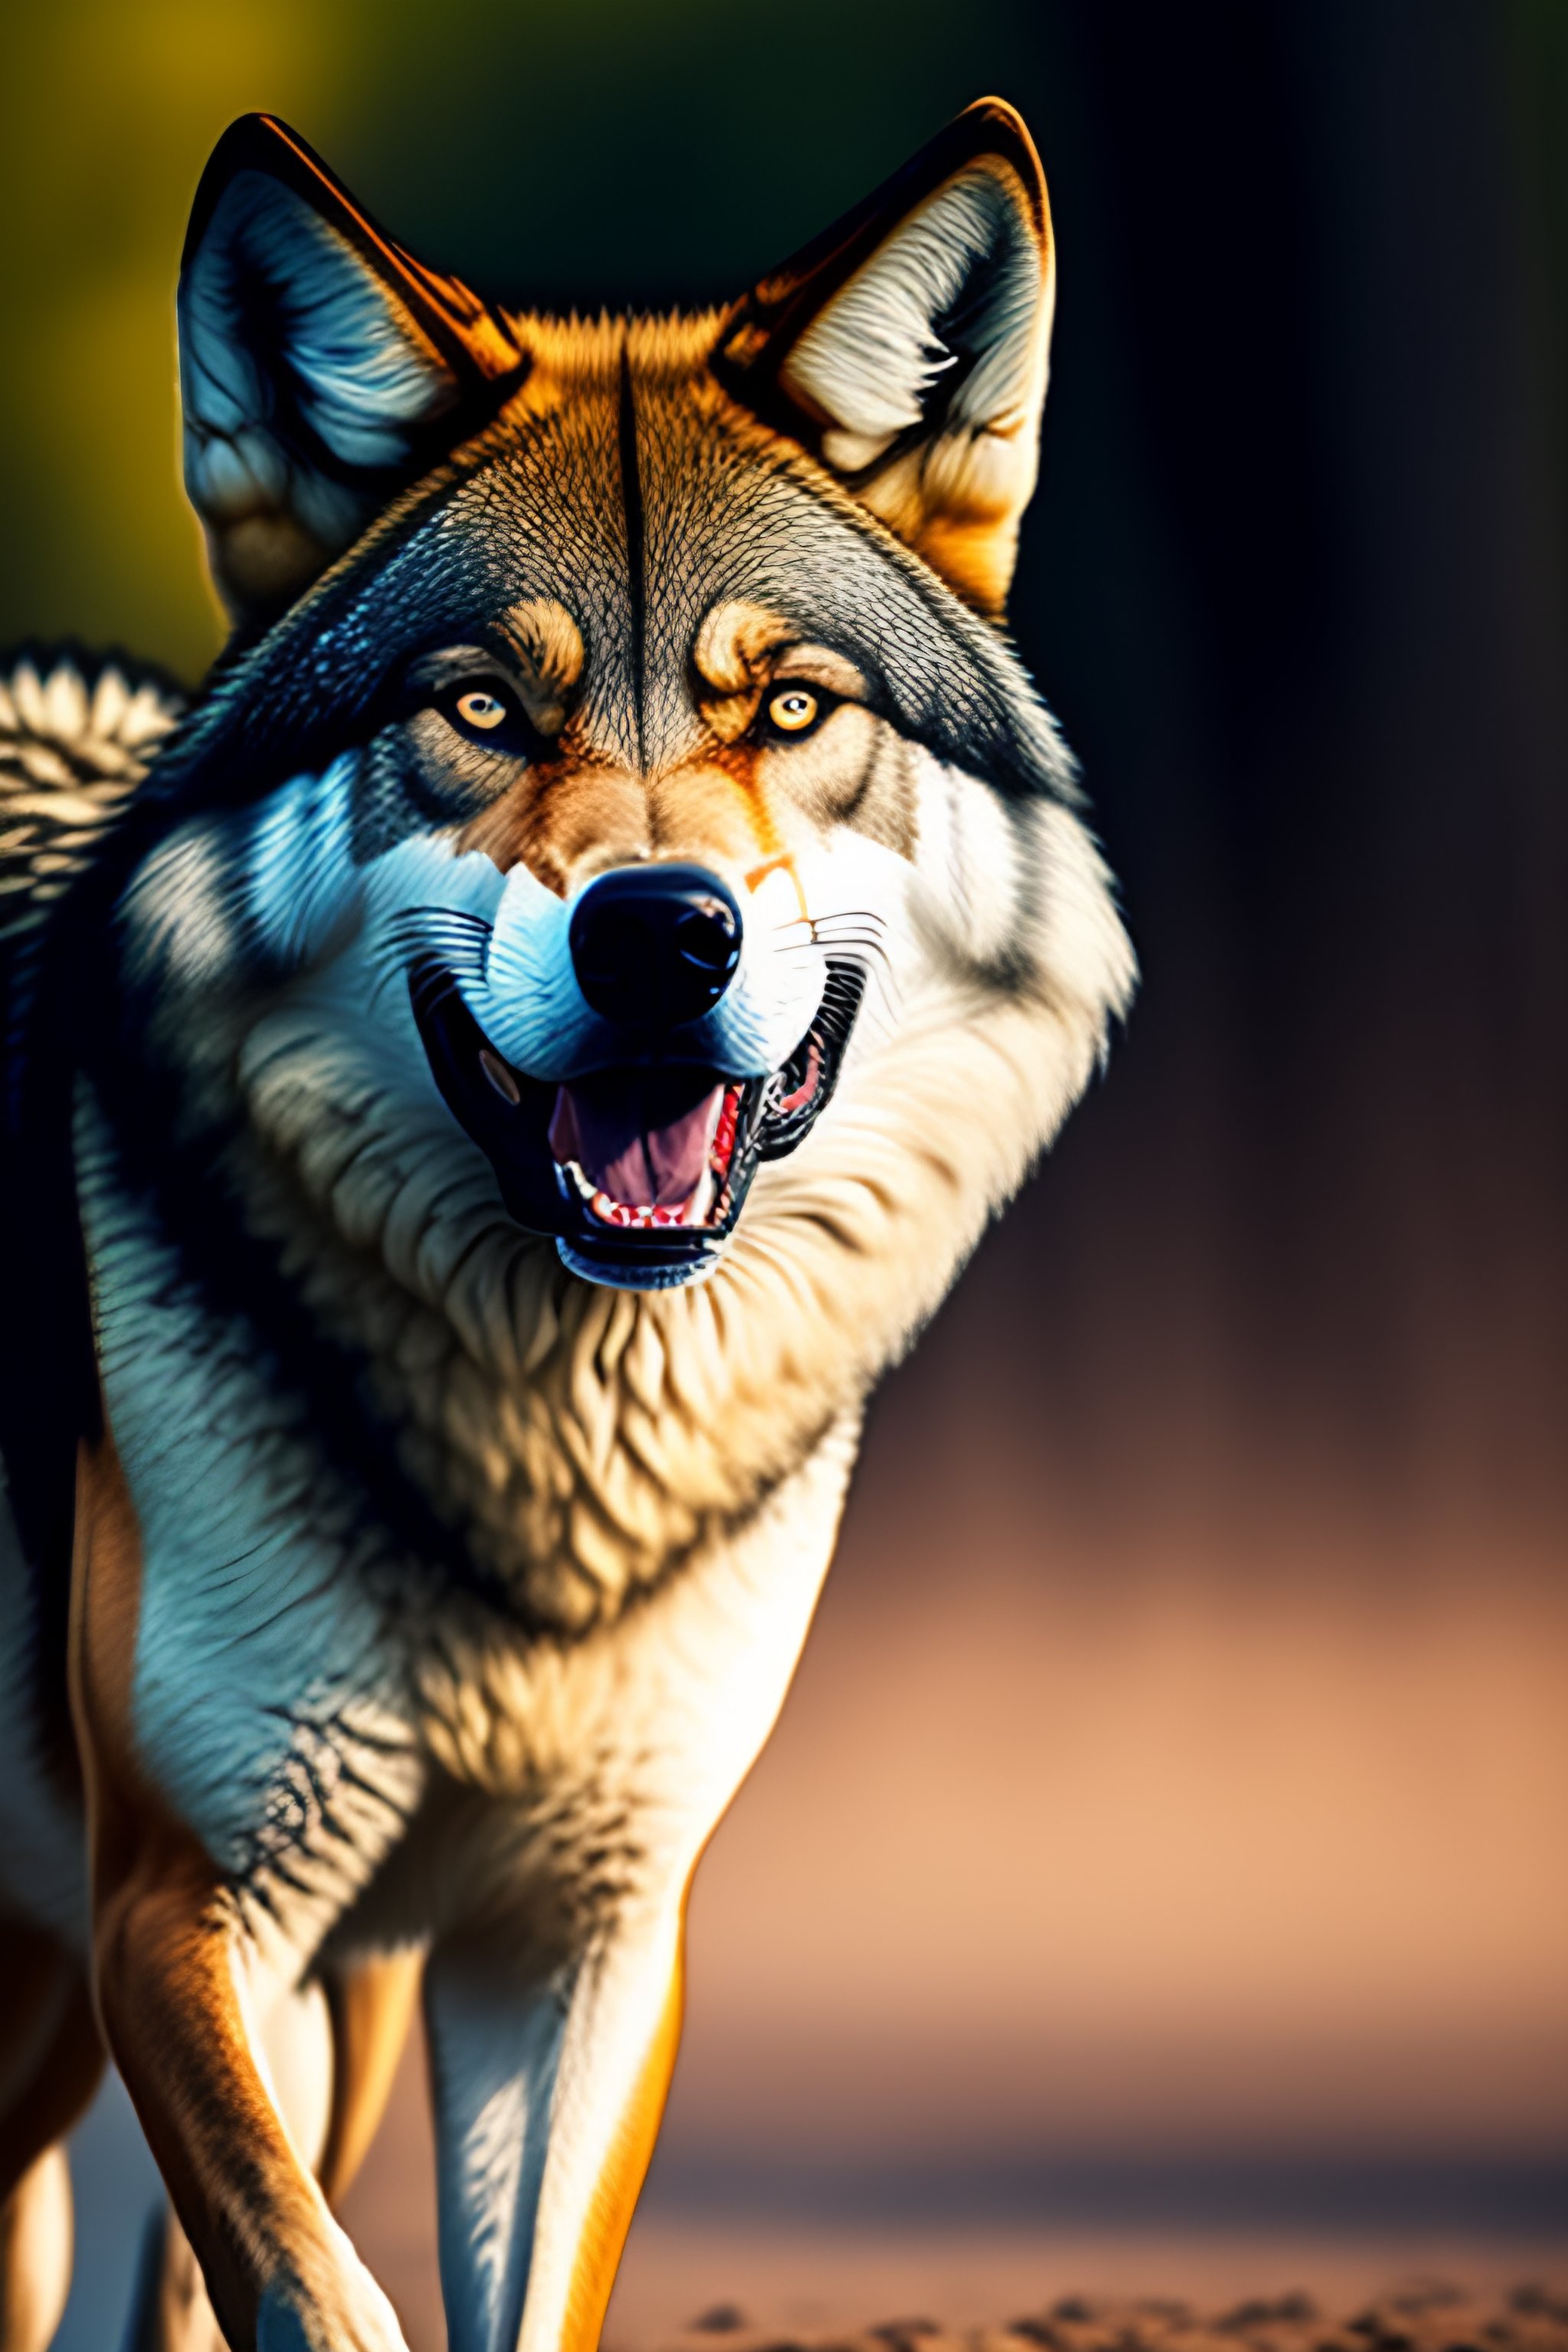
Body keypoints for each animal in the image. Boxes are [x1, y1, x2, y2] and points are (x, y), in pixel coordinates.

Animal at [0, 97, 1132, 2352]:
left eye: (784, 709)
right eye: (482, 710)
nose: (662, 933)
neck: (543, 1475)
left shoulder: (581, 1941)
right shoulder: (183, 1902)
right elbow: (319, 2296)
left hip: (307, 2018)